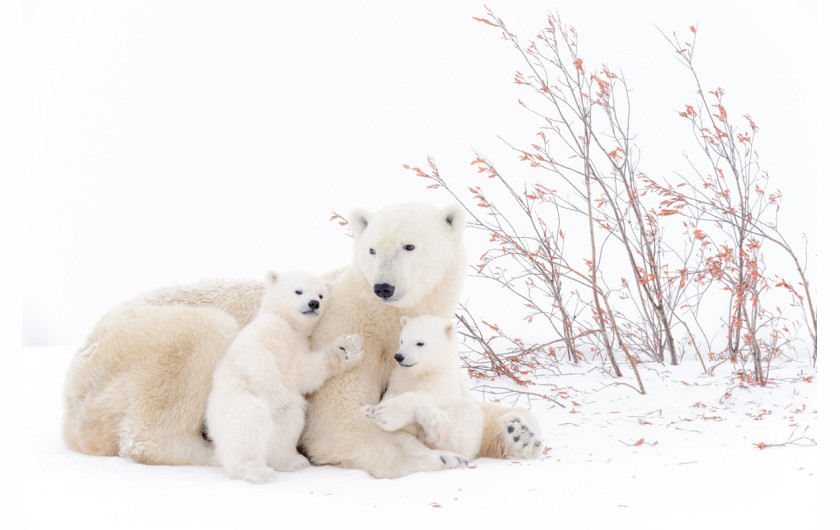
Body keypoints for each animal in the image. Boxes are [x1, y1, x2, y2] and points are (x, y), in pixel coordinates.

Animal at [208, 270, 364, 480]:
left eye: (321, 295)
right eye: (298, 291)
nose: (313, 303)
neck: (289, 327)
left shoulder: (299, 348)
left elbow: (307, 373)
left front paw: (346, 349)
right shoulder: (264, 329)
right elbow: (254, 354)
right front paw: (280, 399)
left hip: (282, 425)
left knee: (291, 423)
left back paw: (291, 461)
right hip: (230, 408)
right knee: (250, 420)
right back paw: (254, 469)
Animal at [360, 316, 486, 460]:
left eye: (420, 343)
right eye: (402, 340)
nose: (399, 356)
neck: (421, 372)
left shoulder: (444, 383)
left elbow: (430, 397)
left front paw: (385, 414)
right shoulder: (399, 378)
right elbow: (392, 392)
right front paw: (372, 409)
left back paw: (429, 418)